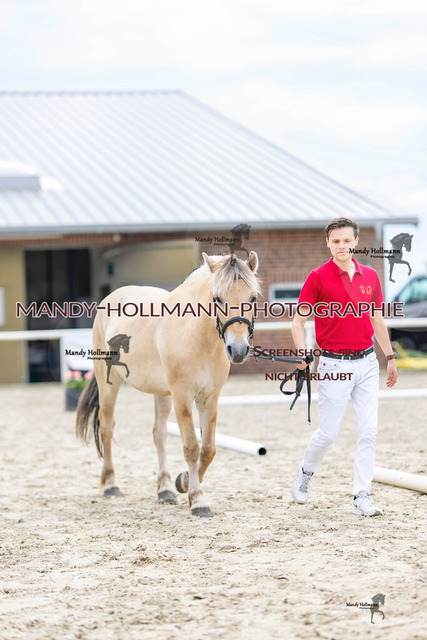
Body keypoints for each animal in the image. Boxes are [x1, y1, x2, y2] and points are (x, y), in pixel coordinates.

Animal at [76, 252, 260, 517]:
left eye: (252, 298)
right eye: (217, 298)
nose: (237, 350)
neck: (198, 337)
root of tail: (110, 298)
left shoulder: (209, 398)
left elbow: (208, 449)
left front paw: (182, 482)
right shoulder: (182, 397)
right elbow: (191, 447)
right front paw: (197, 500)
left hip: (162, 394)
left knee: (159, 433)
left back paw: (164, 489)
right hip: (108, 384)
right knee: (107, 427)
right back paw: (110, 485)